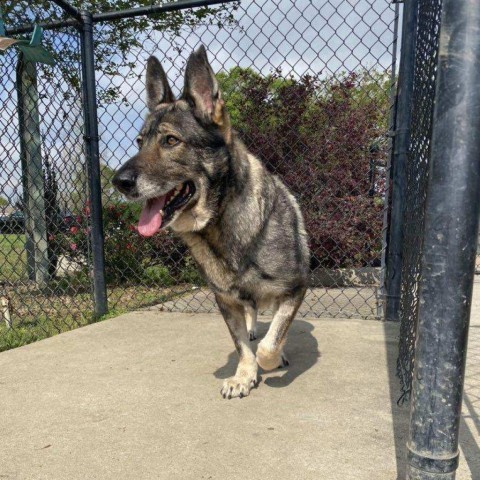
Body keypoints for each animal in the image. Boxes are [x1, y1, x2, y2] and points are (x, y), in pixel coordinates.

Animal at [112, 46, 310, 398]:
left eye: (171, 141)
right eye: (139, 141)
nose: (117, 182)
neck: (222, 223)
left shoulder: (295, 289)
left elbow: (270, 345)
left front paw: (272, 361)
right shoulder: (226, 301)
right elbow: (243, 345)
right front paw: (244, 375)